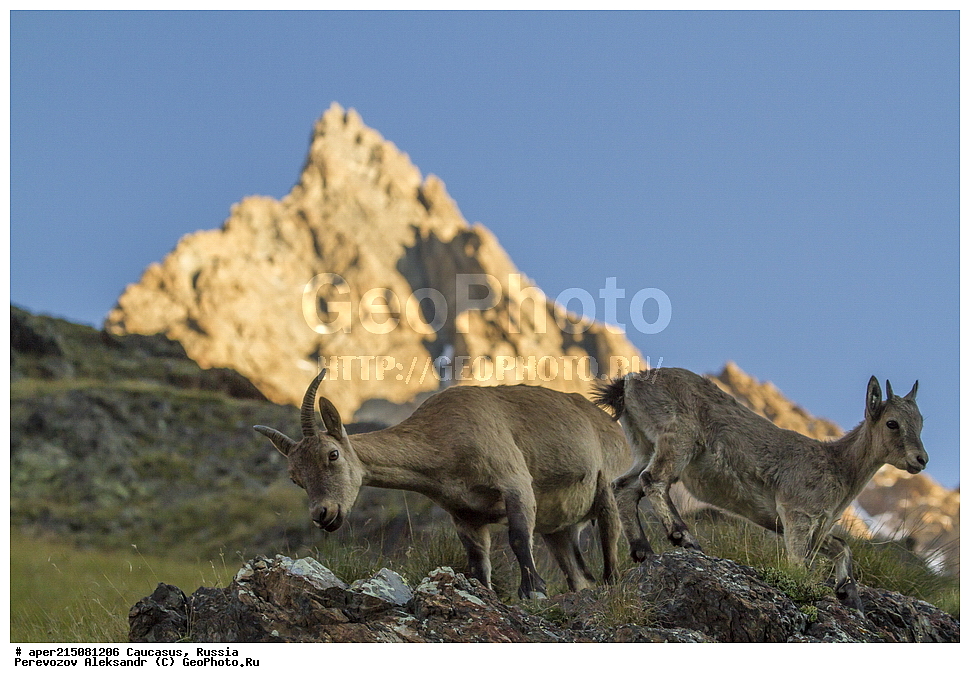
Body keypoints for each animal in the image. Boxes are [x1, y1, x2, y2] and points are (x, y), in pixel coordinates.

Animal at [255, 369, 628, 599]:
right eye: (295, 477)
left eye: (332, 454)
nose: (324, 514)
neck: (445, 439)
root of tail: (612, 423)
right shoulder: (465, 514)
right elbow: (478, 562)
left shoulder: (515, 483)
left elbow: (519, 538)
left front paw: (533, 590)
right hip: (558, 528)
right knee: (578, 574)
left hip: (607, 486)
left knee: (610, 536)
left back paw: (613, 583)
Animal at [593, 367, 927, 612]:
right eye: (892, 423)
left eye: (921, 422)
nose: (920, 459)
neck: (839, 468)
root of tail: (629, 383)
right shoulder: (797, 513)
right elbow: (799, 565)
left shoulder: (814, 526)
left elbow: (842, 546)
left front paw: (850, 595)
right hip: (678, 439)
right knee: (653, 480)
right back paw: (684, 537)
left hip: (644, 443)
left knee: (624, 487)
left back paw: (643, 551)